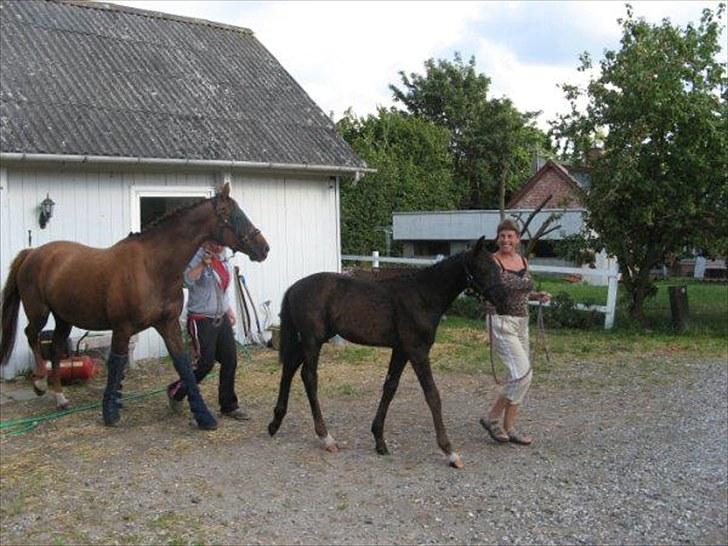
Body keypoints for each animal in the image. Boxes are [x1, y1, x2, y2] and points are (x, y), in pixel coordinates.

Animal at [0, 183, 268, 430]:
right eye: (231, 213)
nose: (264, 248)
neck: (153, 267)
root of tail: (33, 252)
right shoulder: (122, 328)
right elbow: (116, 365)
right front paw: (110, 412)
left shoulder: (168, 325)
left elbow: (184, 366)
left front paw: (203, 415)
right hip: (39, 311)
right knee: (31, 335)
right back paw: (39, 382)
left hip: (64, 317)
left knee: (56, 348)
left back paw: (60, 397)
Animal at [268, 238, 506, 468]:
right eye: (482, 268)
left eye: (497, 267)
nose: (503, 299)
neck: (423, 296)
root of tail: (294, 287)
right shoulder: (417, 350)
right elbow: (432, 395)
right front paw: (450, 452)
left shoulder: (401, 350)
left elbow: (390, 388)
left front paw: (379, 441)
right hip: (312, 341)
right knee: (308, 377)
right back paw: (326, 438)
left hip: (312, 339)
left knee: (289, 369)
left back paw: (275, 423)